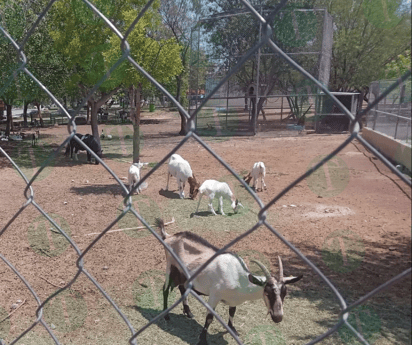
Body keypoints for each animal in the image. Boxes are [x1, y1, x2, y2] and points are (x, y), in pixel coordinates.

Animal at [159, 218, 304, 344]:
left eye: (284, 293)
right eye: (267, 293)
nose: (278, 317)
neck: (239, 279)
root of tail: (169, 237)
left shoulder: (233, 300)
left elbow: (232, 312)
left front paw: (232, 329)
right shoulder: (214, 295)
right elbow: (209, 318)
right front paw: (203, 339)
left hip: (184, 275)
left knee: (182, 288)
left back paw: (188, 312)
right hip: (171, 268)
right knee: (165, 289)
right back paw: (166, 316)